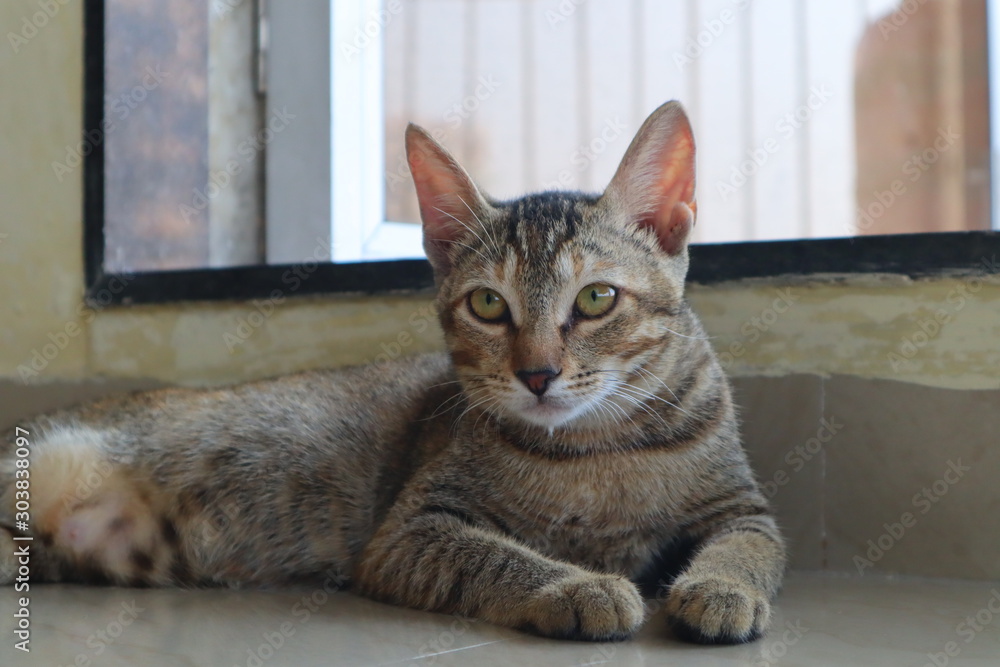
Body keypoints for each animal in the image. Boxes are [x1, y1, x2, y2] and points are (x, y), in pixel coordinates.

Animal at [1, 102, 780, 644]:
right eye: (488, 304)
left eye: (596, 299)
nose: (537, 374)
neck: (597, 451)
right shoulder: (410, 530)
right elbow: (499, 556)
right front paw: (577, 587)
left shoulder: (741, 506)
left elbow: (748, 547)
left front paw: (721, 588)